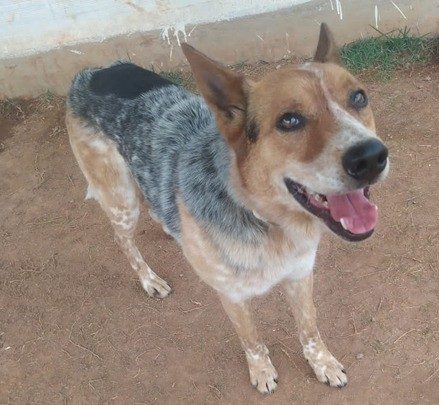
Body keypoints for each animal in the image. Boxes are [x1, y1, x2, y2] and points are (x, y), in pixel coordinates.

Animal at [65, 24, 388, 392]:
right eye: (290, 120)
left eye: (358, 97)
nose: (371, 157)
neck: (267, 221)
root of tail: (90, 73)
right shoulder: (231, 295)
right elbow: (252, 340)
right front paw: (261, 371)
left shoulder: (300, 275)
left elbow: (309, 329)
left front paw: (323, 364)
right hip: (122, 199)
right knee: (125, 241)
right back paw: (149, 280)